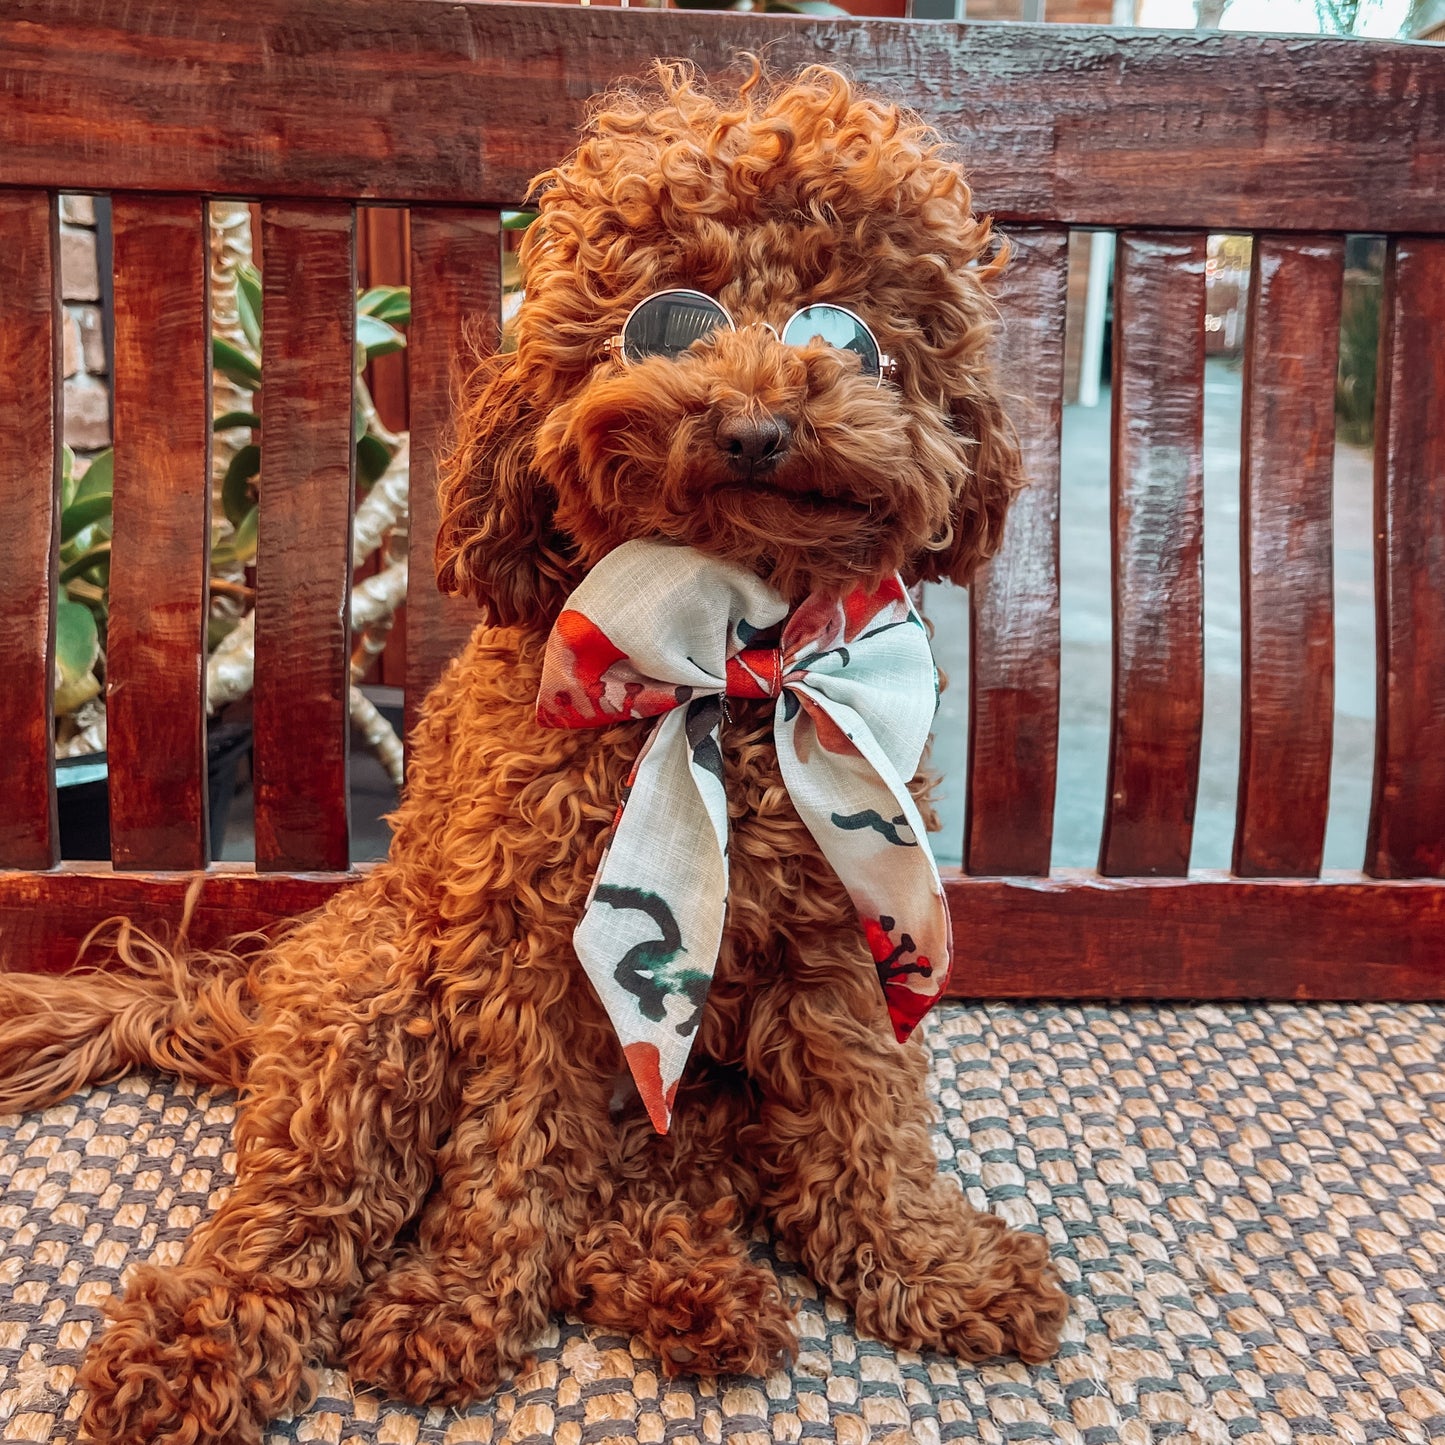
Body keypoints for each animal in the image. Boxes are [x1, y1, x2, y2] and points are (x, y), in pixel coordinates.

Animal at [0, 59, 1063, 1445]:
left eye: (848, 332)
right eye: (664, 320)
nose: (756, 423)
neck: (720, 650)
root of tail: (247, 1006)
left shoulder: (840, 945)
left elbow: (867, 1121)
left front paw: (932, 1264)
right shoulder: (529, 952)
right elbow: (513, 1142)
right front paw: (461, 1298)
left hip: (700, 1099)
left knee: (641, 1194)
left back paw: (692, 1290)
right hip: (377, 1001)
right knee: (300, 1211)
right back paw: (198, 1342)